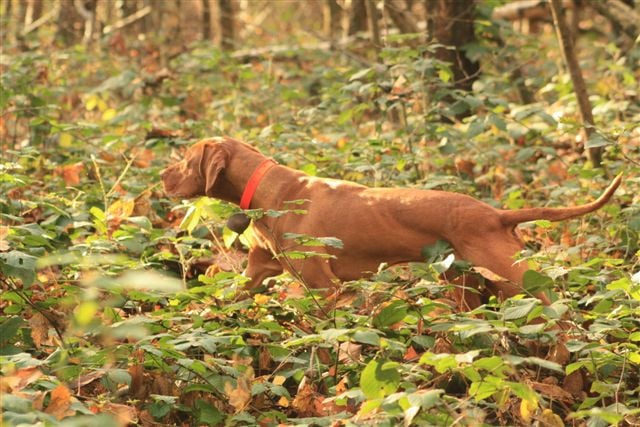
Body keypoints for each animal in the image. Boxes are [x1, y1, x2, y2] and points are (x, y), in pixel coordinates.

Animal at [162, 137, 624, 304]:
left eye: (185, 159)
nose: (162, 176)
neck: (271, 193)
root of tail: (495, 214)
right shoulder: (257, 271)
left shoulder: (323, 285)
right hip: (465, 282)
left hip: (511, 277)